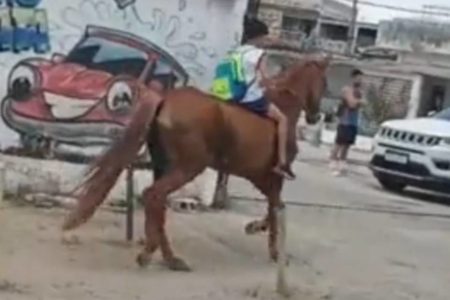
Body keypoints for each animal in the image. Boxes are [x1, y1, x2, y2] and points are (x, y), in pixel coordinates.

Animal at [61, 55, 328, 270]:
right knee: (154, 195)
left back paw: (166, 256)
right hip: (188, 167)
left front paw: (255, 228)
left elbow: (274, 206)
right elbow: (275, 209)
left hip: (164, 166)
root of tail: (164, 100)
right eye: (324, 83)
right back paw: (155, 252)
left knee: (156, 200)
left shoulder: (260, 177)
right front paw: (272, 250)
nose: (316, 117)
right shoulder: (272, 177)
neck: (285, 108)